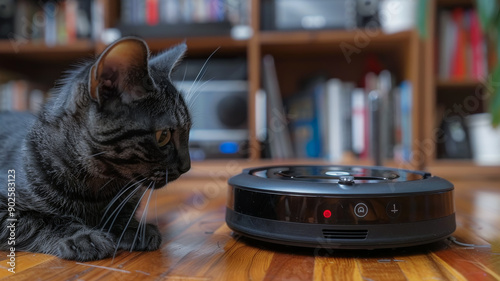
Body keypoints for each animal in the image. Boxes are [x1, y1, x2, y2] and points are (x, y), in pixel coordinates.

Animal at [0, 36, 191, 260]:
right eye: (163, 136)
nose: (187, 166)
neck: (98, 187)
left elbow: (123, 212)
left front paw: (133, 228)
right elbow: (40, 219)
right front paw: (81, 236)